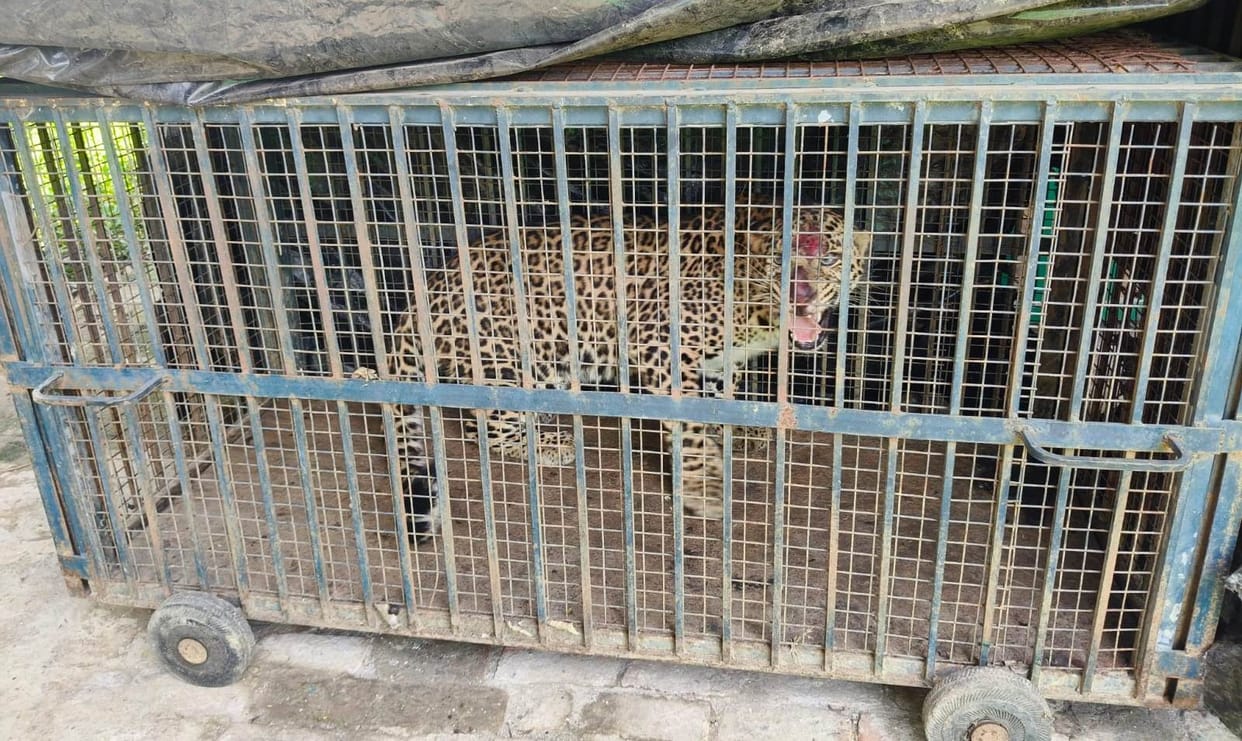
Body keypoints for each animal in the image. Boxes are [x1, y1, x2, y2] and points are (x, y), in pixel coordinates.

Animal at [384, 203, 871, 542]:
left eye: (829, 259)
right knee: (485, 425)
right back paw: (550, 445)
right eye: (779, 262)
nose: (802, 295)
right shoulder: (661, 348)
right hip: (517, 354)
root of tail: (430, 287)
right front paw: (702, 488)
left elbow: (717, 399)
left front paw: (740, 428)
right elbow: (691, 427)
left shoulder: (717, 360)